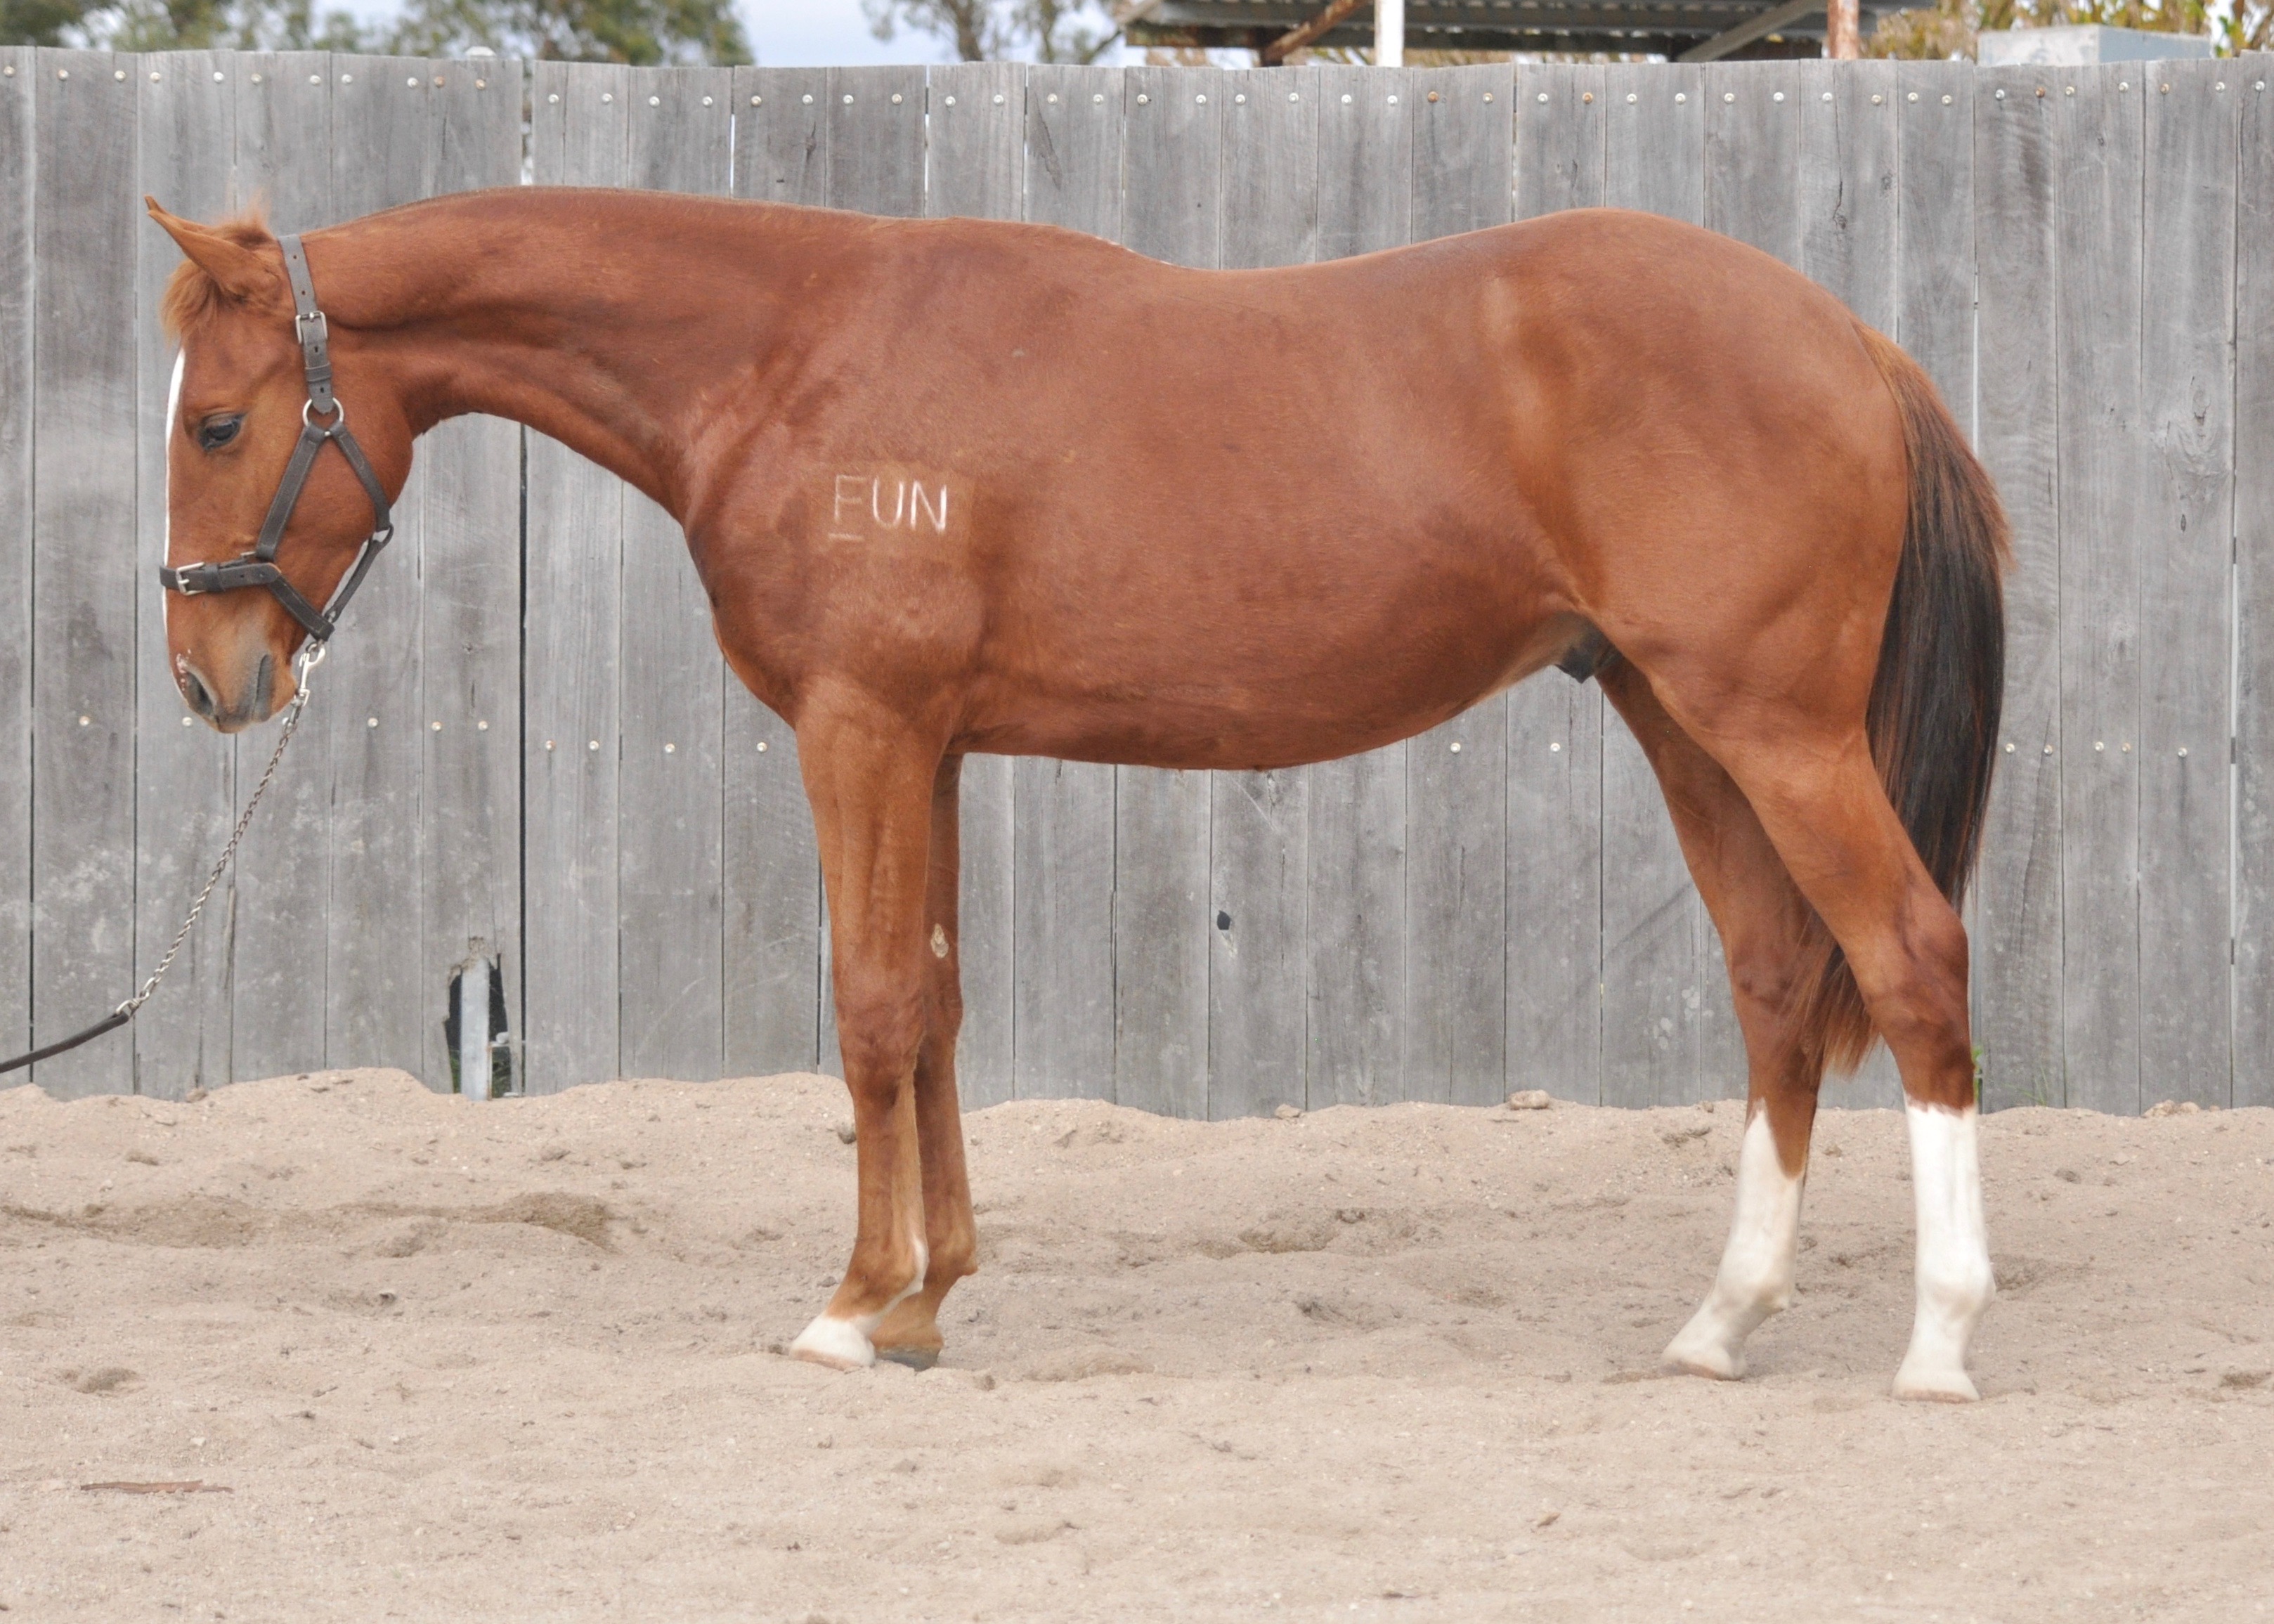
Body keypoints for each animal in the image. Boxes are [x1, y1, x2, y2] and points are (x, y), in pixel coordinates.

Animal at [145, 184, 2007, 1401]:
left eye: (222, 421)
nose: (207, 680)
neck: (790, 357)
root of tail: (1853, 340)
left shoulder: (860, 730)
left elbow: (873, 1009)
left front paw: (849, 1308)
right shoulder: (937, 745)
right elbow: (940, 1009)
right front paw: (929, 1304)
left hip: (1773, 731)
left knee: (1910, 959)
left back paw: (1936, 1340)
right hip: (1683, 725)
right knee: (1777, 984)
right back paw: (1720, 1323)